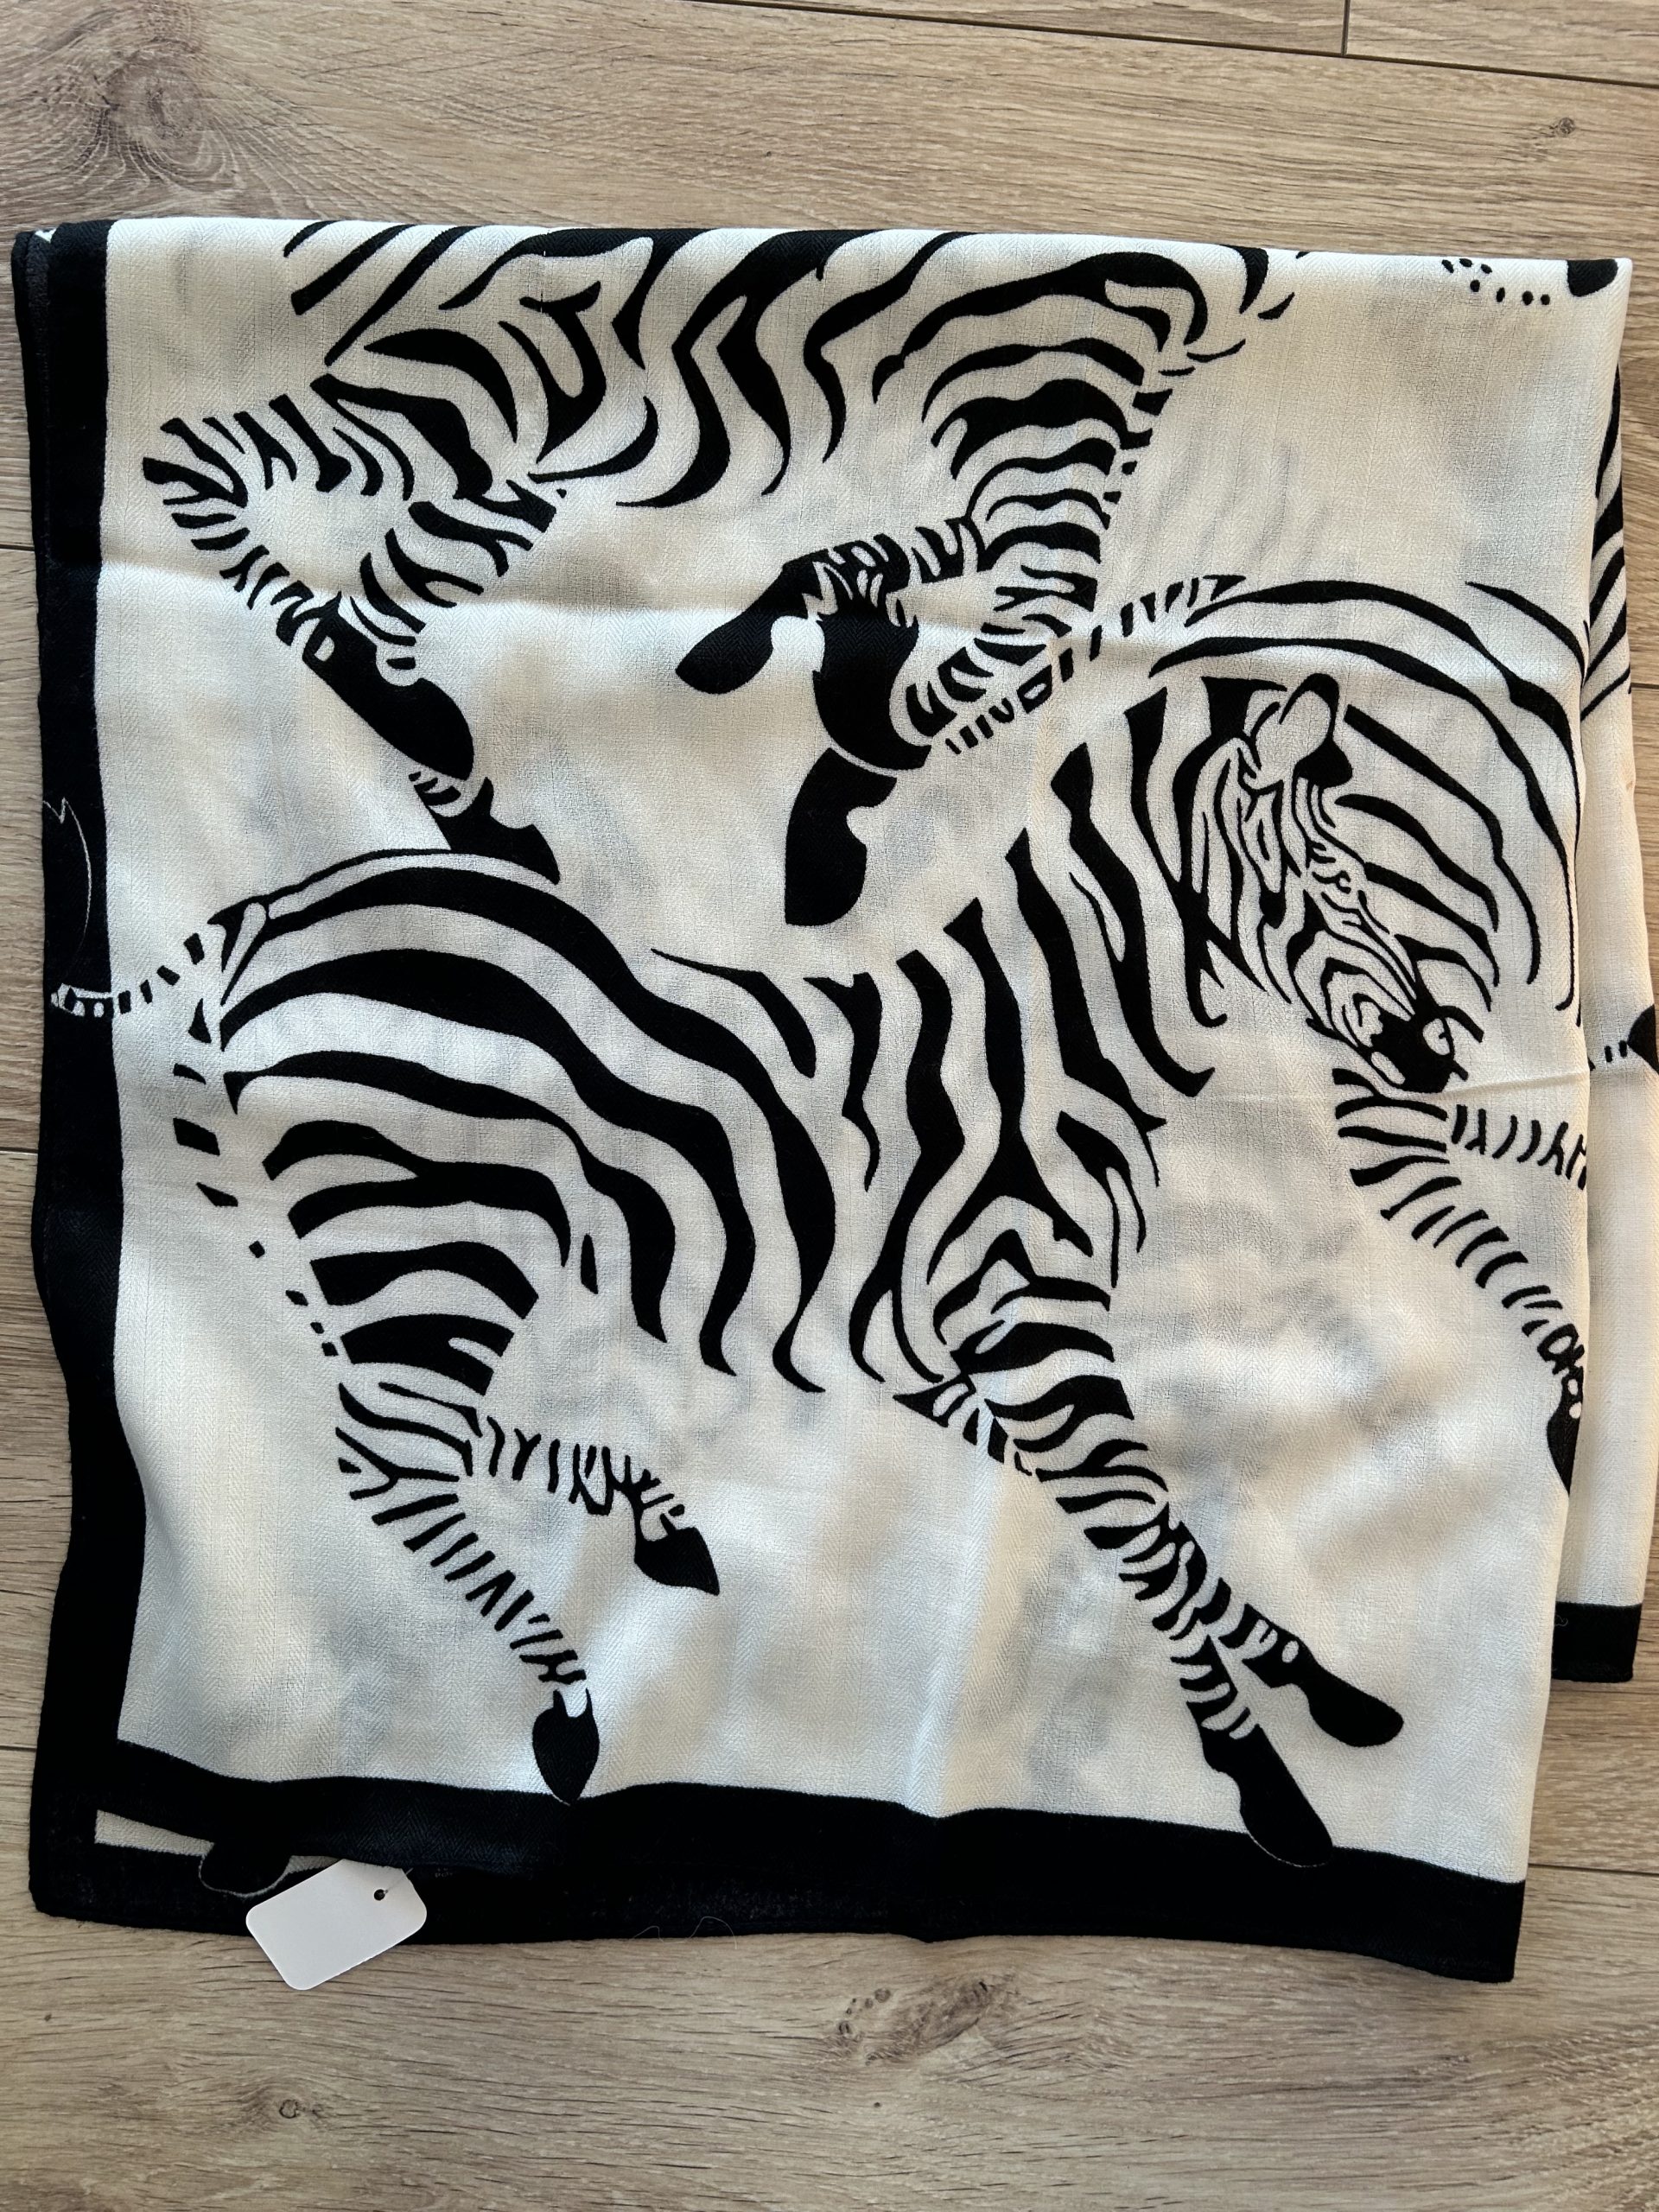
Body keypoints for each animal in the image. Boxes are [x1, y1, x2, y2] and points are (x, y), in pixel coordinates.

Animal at [66, 565, 1591, 1873]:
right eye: (1334, 882)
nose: (1437, 1057)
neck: (1041, 1052)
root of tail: (285, 907)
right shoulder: (1028, 1331)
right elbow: (1146, 1530)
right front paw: (1265, 1784)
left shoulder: (940, 1349)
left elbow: (1153, 1526)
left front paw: (1315, 1686)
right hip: (434, 1225)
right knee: (388, 1454)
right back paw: (570, 1707)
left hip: (369, 1240)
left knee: (403, 1428)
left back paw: (652, 1520)